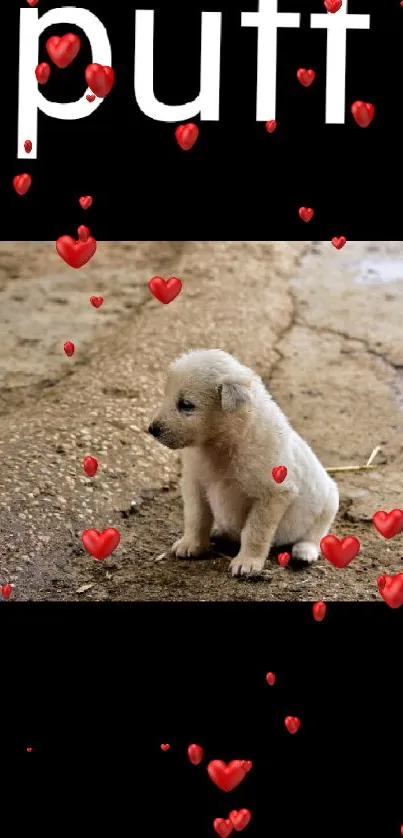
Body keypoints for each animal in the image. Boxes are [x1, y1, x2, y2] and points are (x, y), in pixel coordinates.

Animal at [150, 348, 340, 576]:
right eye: (166, 396)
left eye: (186, 405)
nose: (152, 429)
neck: (223, 443)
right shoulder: (195, 482)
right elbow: (196, 517)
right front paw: (191, 545)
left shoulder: (273, 493)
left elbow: (255, 530)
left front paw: (247, 562)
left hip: (328, 503)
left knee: (316, 535)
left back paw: (304, 552)